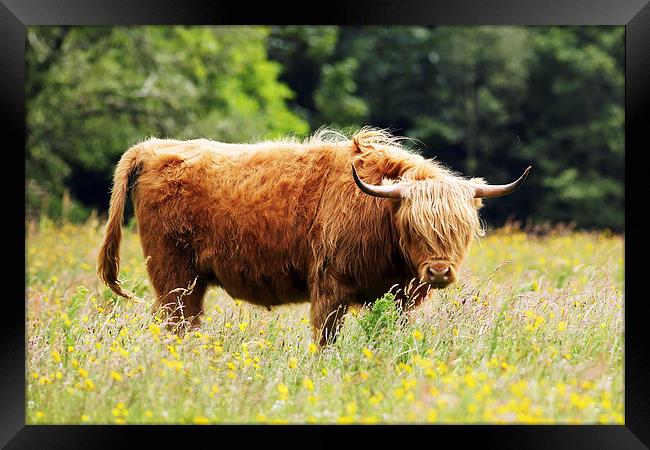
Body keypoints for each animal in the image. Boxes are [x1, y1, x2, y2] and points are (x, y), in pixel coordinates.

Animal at [97, 128, 532, 346]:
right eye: (414, 226)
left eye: (461, 228)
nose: (439, 271)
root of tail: (153, 147)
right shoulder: (330, 286)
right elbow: (325, 339)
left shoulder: (401, 296)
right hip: (173, 275)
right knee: (176, 323)